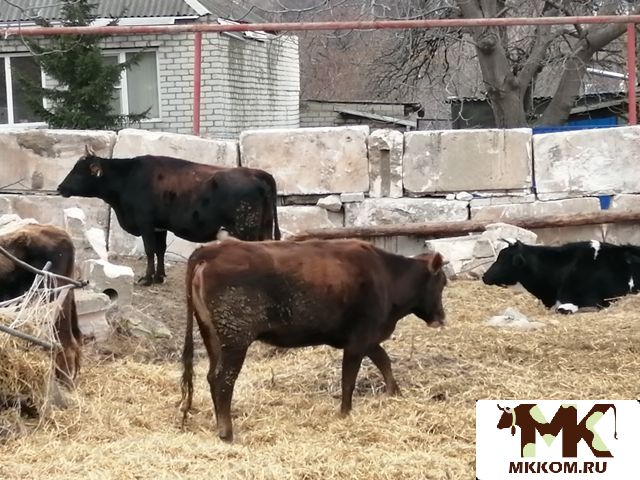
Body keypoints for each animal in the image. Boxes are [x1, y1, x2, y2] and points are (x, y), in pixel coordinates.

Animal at [180, 238, 448, 440]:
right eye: (442, 282)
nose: (441, 317)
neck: (386, 275)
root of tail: (212, 250)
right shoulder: (358, 340)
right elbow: (349, 379)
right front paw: (345, 413)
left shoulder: (368, 339)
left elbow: (384, 361)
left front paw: (394, 392)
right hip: (236, 338)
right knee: (224, 379)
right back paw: (227, 432)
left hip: (213, 336)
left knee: (212, 376)